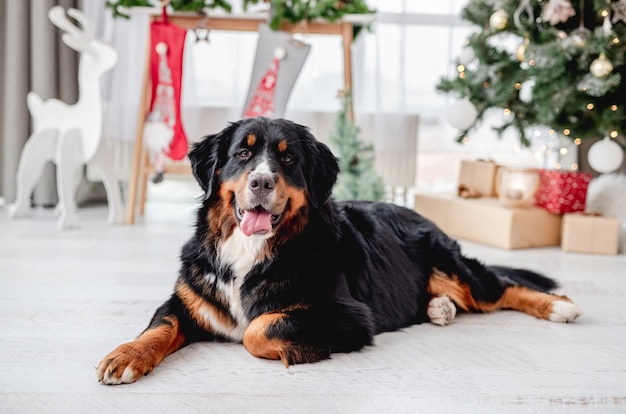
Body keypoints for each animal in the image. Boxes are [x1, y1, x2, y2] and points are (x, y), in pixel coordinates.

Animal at [95, 116, 576, 384]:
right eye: (242, 154)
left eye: (288, 159)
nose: (261, 182)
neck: (251, 250)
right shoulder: (186, 299)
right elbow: (159, 327)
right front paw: (126, 356)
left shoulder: (348, 316)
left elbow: (258, 328)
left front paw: (297, 352)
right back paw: (439, 307)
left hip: (451, 263)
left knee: (499, 286)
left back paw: (558, 306)